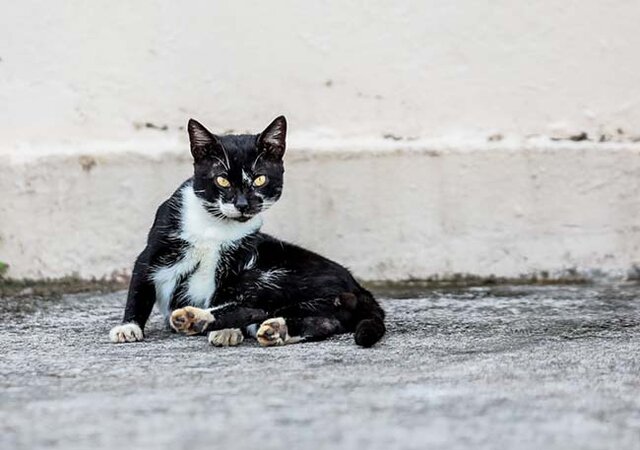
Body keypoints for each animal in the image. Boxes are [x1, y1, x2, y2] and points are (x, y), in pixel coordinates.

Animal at [109, 116, 384, 348]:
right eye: (222, 180)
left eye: (260, 179)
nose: (242, 204)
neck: (214, 227)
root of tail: (359, 288)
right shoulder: (154, 248)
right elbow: (139, 288)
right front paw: (128, 327)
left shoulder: (235, 262)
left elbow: (222, 295)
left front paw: (225, 331)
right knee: (317, 319)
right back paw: (274, 330)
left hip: (265, 275)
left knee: (254, 307)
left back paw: (198, 319)